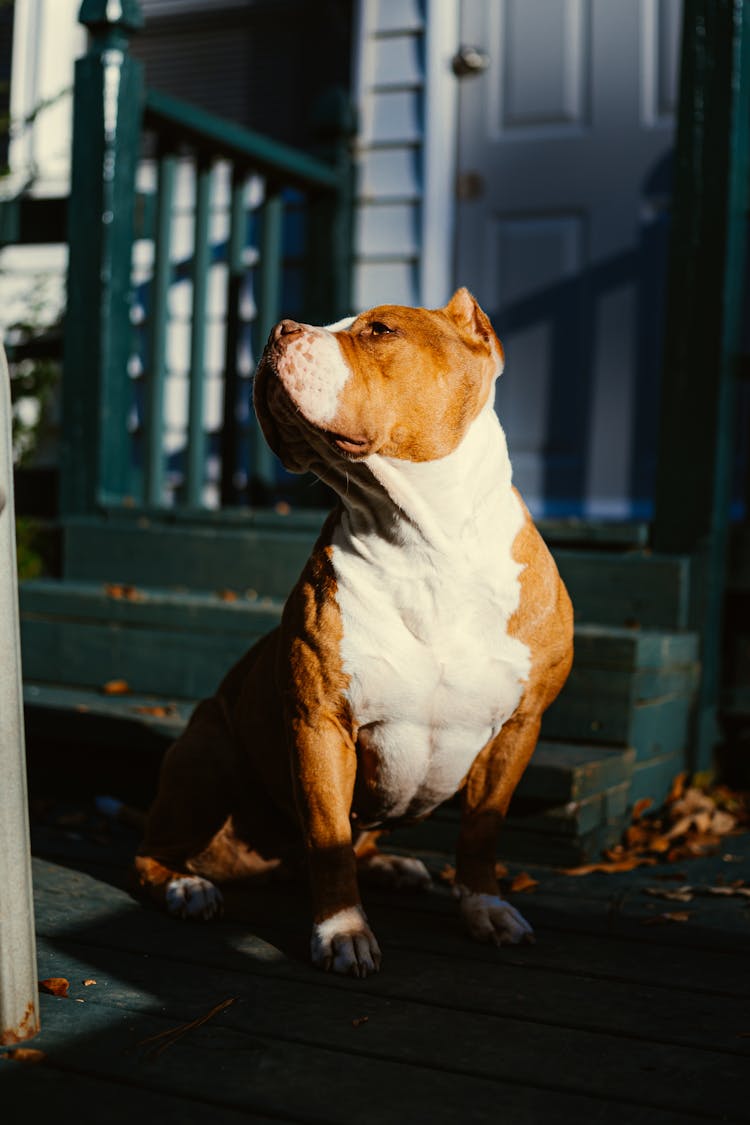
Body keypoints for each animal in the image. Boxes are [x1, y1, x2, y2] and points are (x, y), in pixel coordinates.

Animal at [133, 288, 575, 976]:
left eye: (381, 330)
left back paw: (393, 866)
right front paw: (342, 931)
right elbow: (330, 839)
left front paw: (485, 908)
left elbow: (481, 830)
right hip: (206, 754)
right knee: (151, 852)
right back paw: (186, 886)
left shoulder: (518, 729)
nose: (279, 329)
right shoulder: (320, 723)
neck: (425, 542)